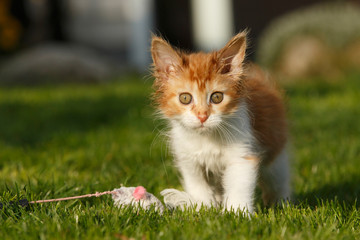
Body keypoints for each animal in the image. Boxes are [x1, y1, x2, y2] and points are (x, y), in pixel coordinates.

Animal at [151, 31, 290, 214]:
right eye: (185, 98)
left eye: (217, 97)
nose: (202, 116)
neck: (207, 139)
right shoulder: (189, 160)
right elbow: (198, 187)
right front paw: (204, 209)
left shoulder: (242, 156)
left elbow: (238, 187)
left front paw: (237, 213)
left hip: (276, 155)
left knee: (278, 181)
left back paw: (282, 203)